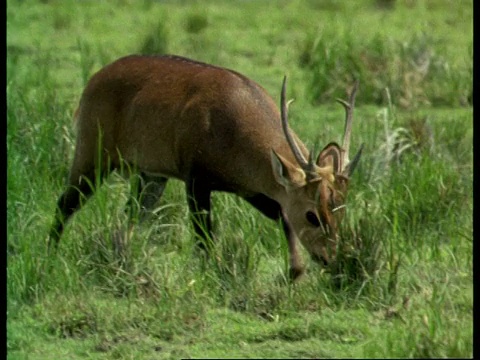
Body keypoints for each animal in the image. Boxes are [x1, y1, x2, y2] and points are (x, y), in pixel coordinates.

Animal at [49, 54, 364, 278]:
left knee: (130, 217)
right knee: (64, 204)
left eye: (341, 209)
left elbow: (282, 215)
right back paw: (49, 258)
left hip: (150, 176)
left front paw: (295, 272)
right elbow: (204, 240)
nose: (330, 259)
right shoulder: (196, 180)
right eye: (313, 215)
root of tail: (93, 81)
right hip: (92, 156)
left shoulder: (254, 191)